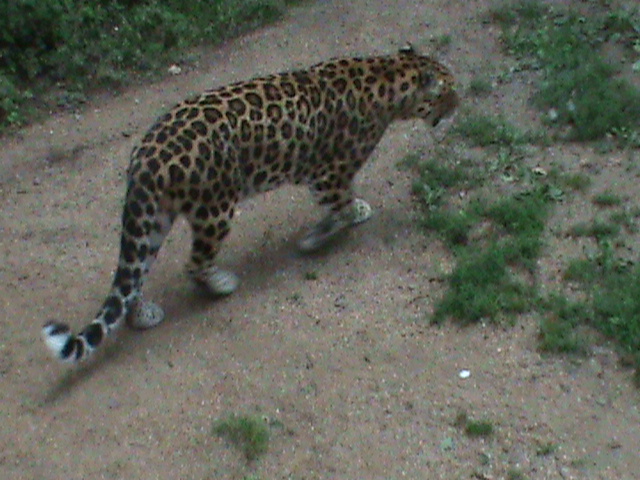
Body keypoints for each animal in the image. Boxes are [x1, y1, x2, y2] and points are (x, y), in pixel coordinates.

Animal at [42, 45, 459, 363]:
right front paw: (334, 226)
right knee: (193, 263)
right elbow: (340, 206)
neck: (388, 77)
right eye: (448, 90)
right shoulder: (327, 176)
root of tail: (145, 158)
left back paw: (143, 313)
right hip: (216, 210)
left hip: (152, 219)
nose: (458, 103)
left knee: (134, 273)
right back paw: (221, 283)